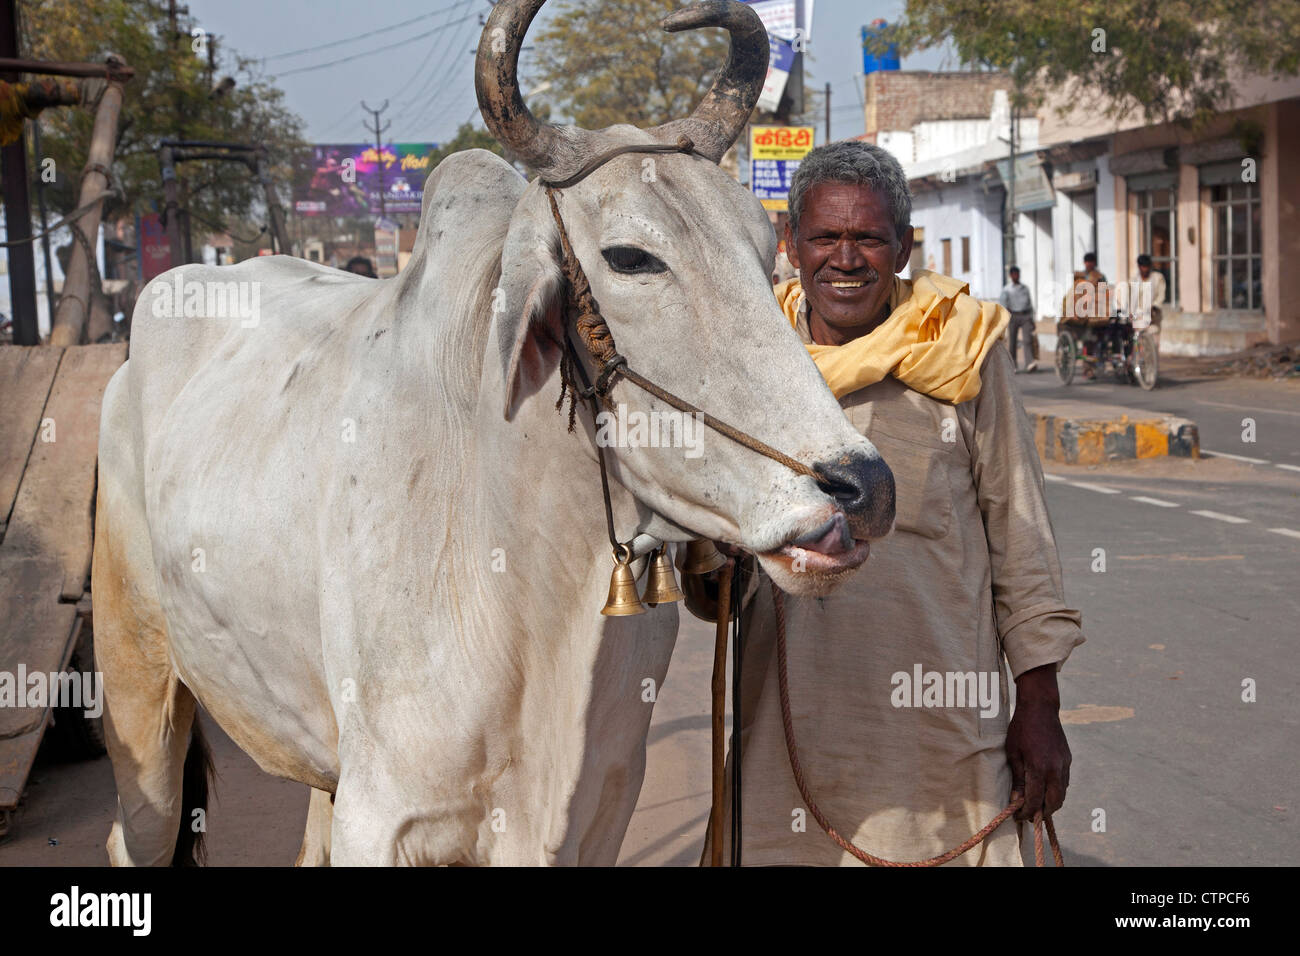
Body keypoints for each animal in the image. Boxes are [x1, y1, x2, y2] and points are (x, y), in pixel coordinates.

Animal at [96, 0, 894, 868]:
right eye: (630, 257)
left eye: (764, 247)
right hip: (140, 679)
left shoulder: (602, 808)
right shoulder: (382, 816)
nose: (863, 488)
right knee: (132, 828)